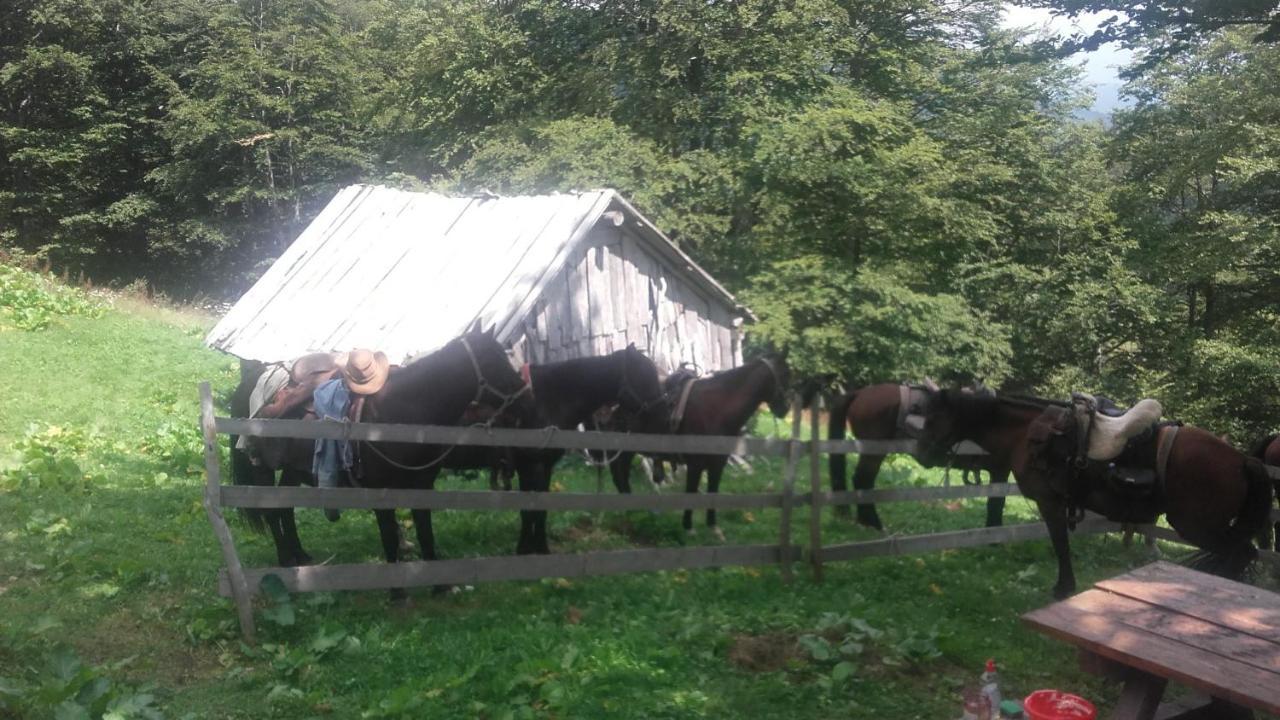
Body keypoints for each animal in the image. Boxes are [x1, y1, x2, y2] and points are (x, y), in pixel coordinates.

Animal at [606, 356, 788, 535]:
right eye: (785, 376)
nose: (785, 410)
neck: (715, 409)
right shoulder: (695, 464)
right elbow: (691, 491)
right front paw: (688, 527)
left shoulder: (718, 464)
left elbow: (713, 491)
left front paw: (713, 527)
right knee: (618, 474)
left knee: (621, 474)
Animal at [829, 381, 1008, 527]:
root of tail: (860, 393)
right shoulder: (1000, 471)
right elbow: (996, 503)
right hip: (873, 454)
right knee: (862, 480)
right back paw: (872, 523)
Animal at [921, 389, 1269, 597]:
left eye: (934, 417)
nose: (924, 454)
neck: (1029, 434)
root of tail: (1242, 460)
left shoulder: (1050, 503)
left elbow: (1060, 545)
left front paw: (1063, 588)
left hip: (1197, 526)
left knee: (1240, 554)